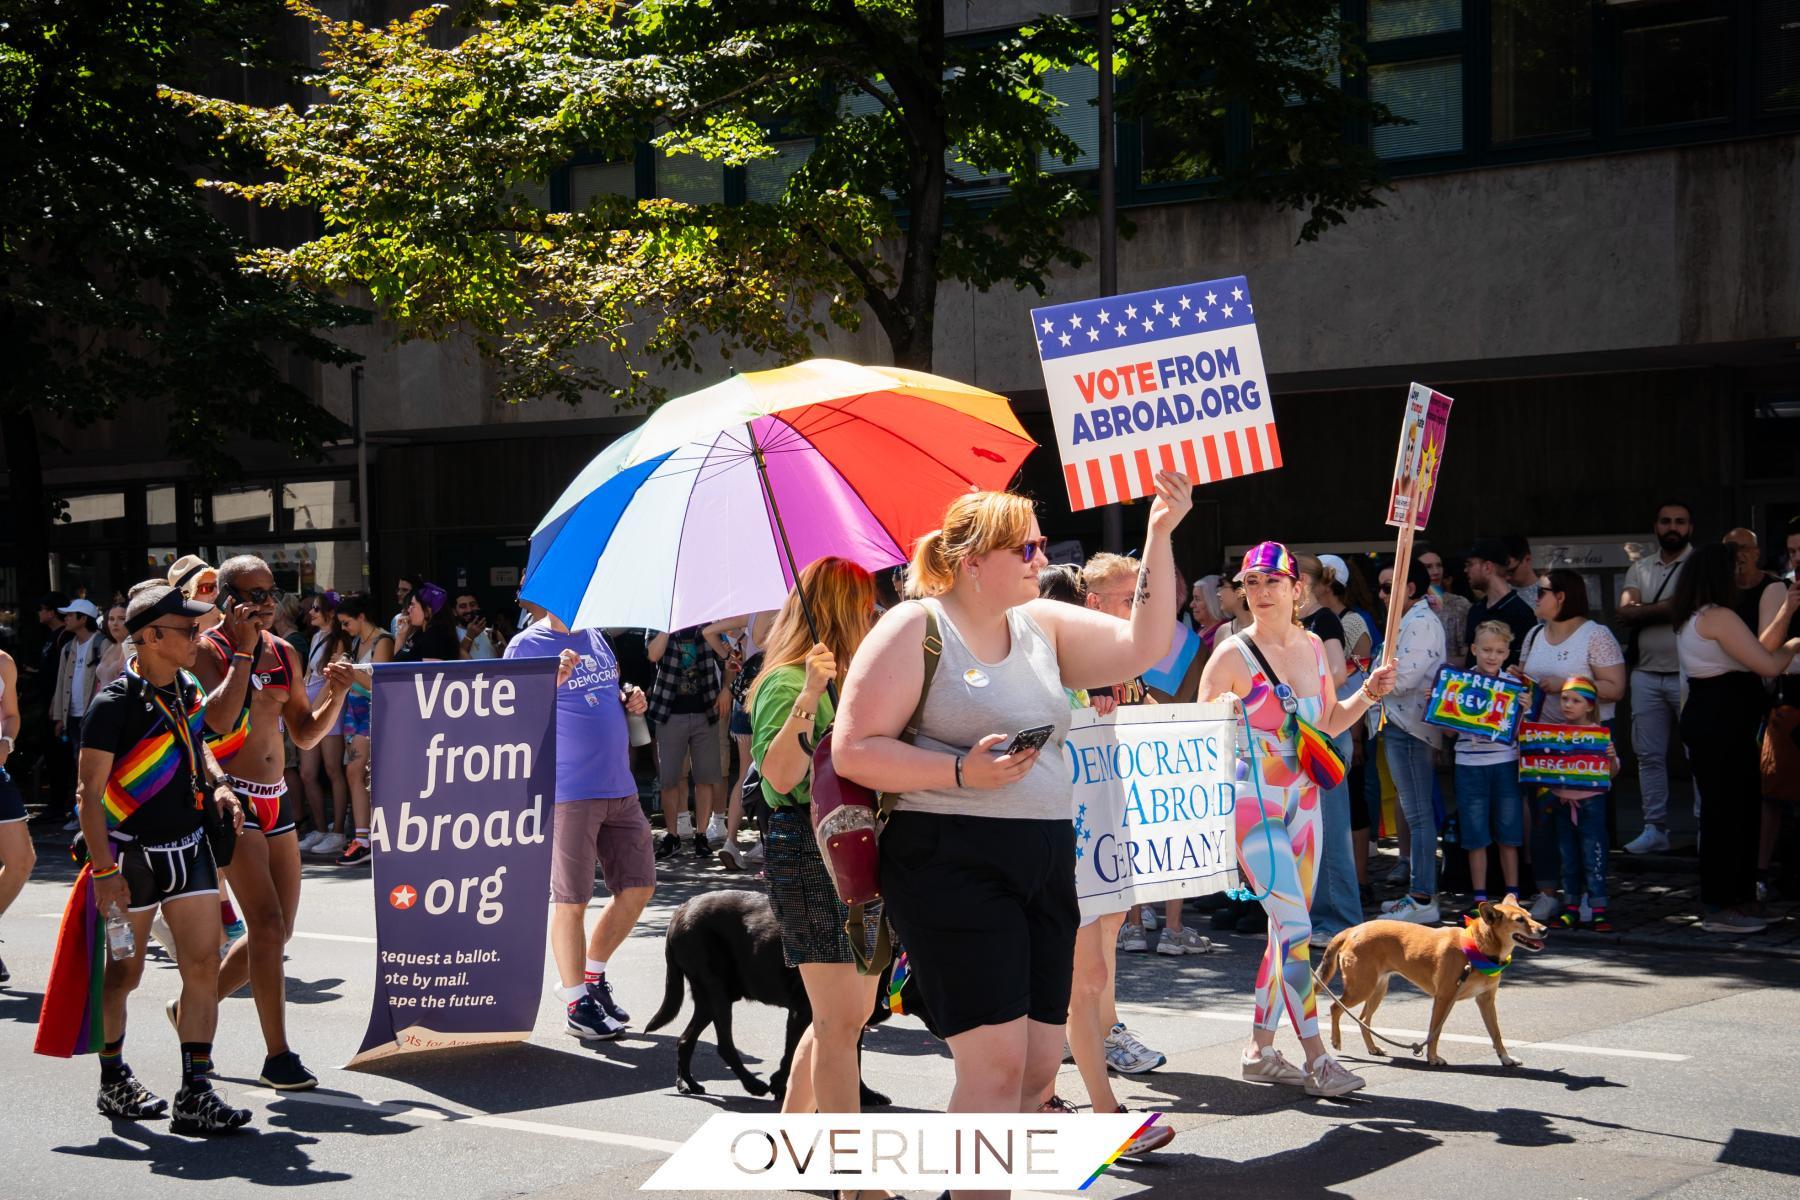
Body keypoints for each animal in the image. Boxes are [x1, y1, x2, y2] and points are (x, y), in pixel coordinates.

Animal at [644, 888, 907, 1101]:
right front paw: (779, 1085)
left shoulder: (849, 1022)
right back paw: (753, 1084)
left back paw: (686, 1083)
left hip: (711, 998)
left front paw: (865, 1094)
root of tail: (680, 910)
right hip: (716, 992)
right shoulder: (803, 1013)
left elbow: (855, 1060)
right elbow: (791, 1053)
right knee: (724, 1046)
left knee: (685, 1040)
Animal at [1317, 892, 1555, 1072]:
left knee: (1362, 1019)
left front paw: (1505, 1058)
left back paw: (1373, 1048)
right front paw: (1432, 1058)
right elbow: (1434, 1033)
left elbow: (1496, 1034)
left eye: (1530, 916)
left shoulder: (1486, 1000)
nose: (1545, 930)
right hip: (1362, 988)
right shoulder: (1443, 999)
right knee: (1335, 1008)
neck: (1478, 949)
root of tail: (1353, 929)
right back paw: (1336, 1040)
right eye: (1519, 920)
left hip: (1377, 990)